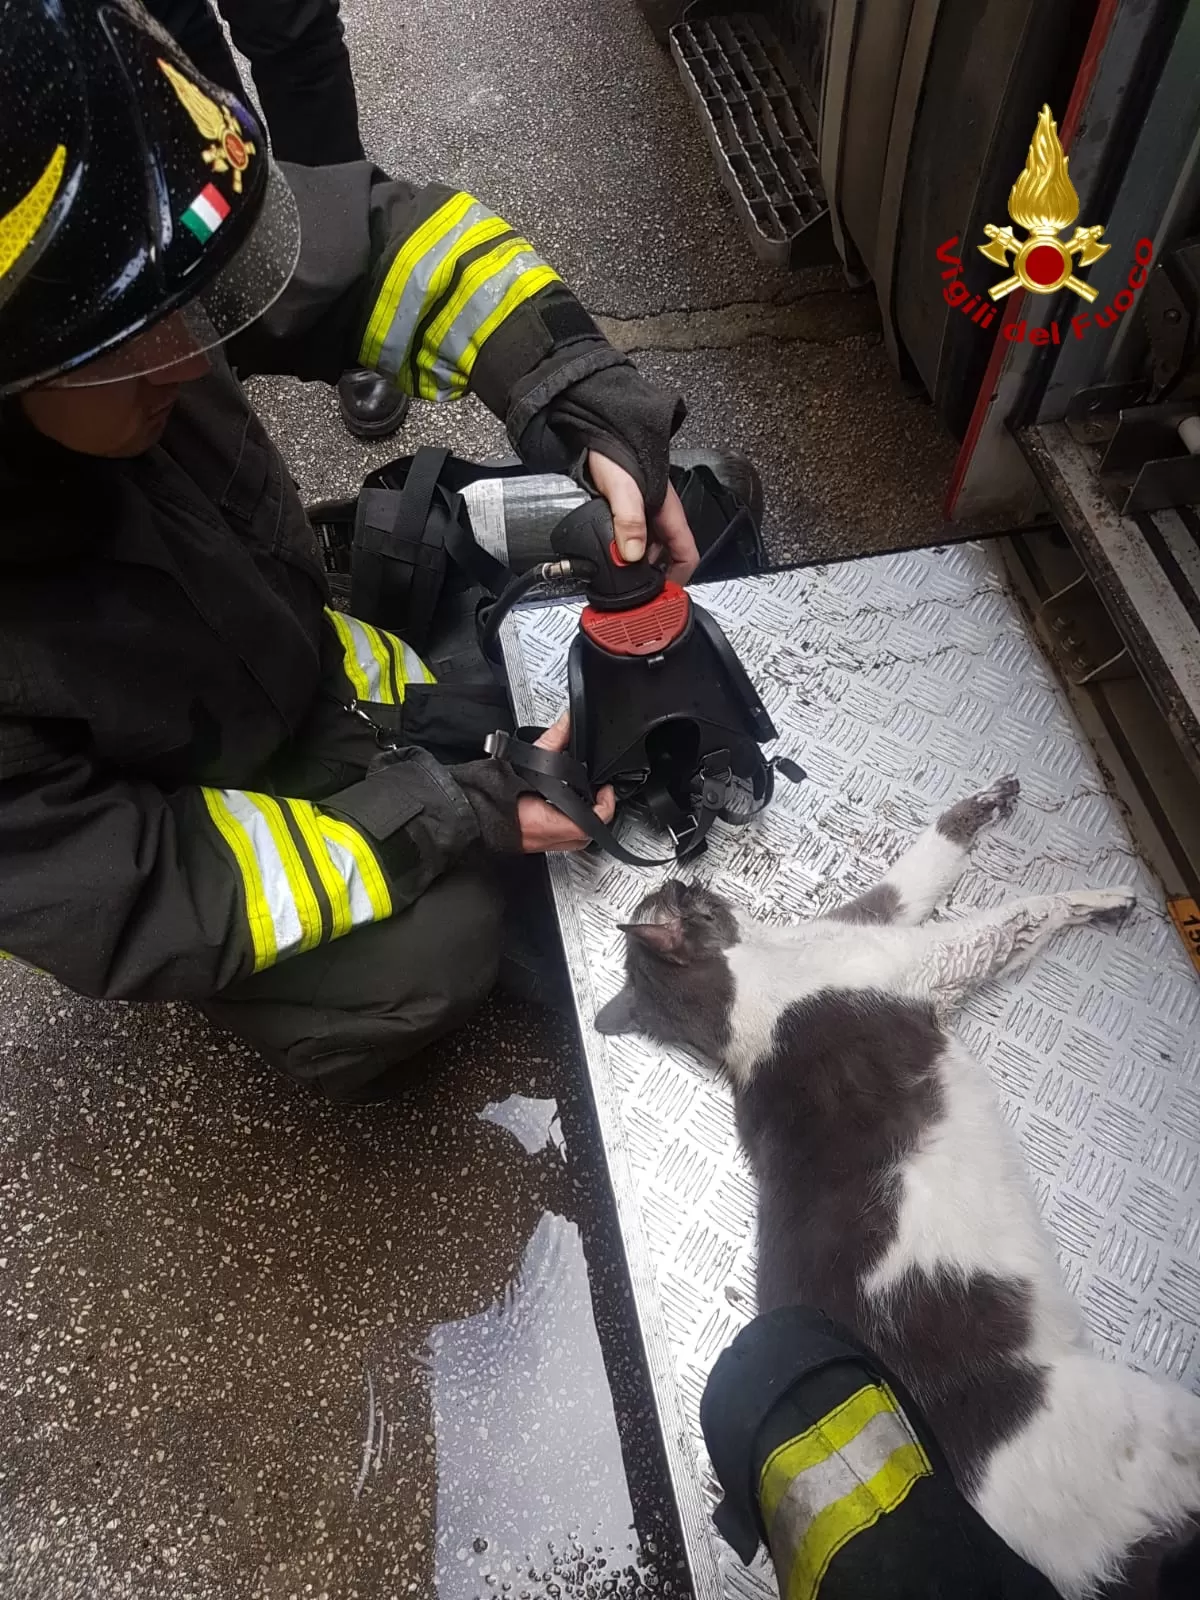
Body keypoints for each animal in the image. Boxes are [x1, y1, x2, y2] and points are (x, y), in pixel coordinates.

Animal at [598, 777, 1200, 1600]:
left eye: (675, 893)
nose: (685, 869)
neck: (745, 984)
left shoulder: (880, 913)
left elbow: (928, 857)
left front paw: (989, 802)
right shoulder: (927, 958)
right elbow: (1021, 913)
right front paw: (1103, 898)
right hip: (1144, 1420)